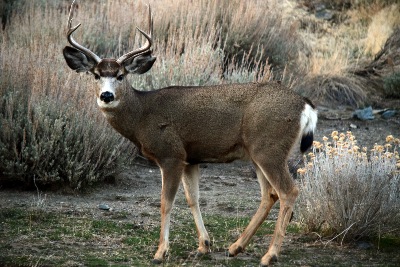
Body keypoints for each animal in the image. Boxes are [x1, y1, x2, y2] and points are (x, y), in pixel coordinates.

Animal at [62, 1, 318, 266]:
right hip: (257, 153)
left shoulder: (171, 154)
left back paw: (269, 254)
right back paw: (235, 247)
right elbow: (192, 198)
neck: (142, 115)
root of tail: (305, 104)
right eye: (96, 75)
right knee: (269, 194)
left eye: (121, 75)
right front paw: (203, 245)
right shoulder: (190, 158)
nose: (107, 96)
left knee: (288, 191)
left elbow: (166, 202)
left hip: (269, 149)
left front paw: (160, 252)